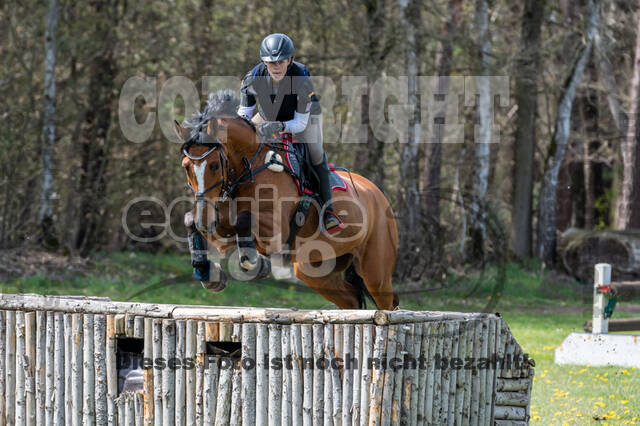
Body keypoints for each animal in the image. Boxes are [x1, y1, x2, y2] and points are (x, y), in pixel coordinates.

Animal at [176, 90, 400, 310]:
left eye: (214, 165)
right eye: (186, 166)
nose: (205, 221)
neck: (251, 167)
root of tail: (377, 194)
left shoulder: (276, 229)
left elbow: (244, 219)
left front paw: (257, 264)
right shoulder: (220, 227)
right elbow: (190, 220)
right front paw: (207, 273)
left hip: (375, 271)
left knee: (387, 303)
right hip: (316, 268)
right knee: (352, 300)